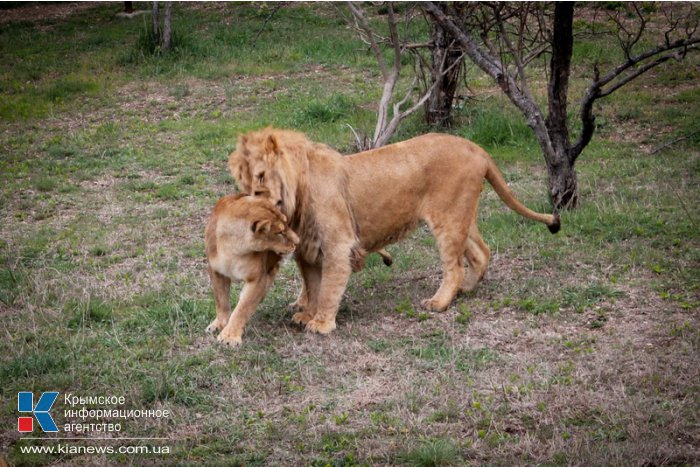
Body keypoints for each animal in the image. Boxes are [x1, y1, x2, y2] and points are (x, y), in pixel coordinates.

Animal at [204, 194, 300, 348]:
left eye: (287, 223)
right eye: (279, 232)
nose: (298, 242)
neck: (233, 249)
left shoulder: (257, 279)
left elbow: (242, 309)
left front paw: (229, 336)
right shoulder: (216, 272)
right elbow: (221, 301)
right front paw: (219, 324)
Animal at [228, 126, 556, 334]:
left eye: (261, 177)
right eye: (245, 182)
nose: (254, 204)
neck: (298, 190)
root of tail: (477, 148)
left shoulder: (337, 243)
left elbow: (329, 286)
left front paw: (321, 324)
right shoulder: (309, 249)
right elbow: (312, 285)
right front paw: (306, 313)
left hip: (447, 219)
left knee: (455, 266)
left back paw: (440, 302)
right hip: (461, 215)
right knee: (481, 252)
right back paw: (467, 289)